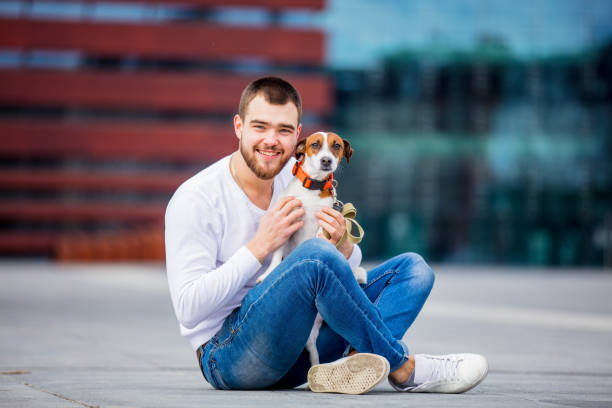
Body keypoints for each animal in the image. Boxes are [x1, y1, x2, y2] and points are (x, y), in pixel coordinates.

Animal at [256, 131, 366, 366]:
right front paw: (268, 274)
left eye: (336, 146)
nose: (327, 160)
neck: (312, 189)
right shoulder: (285, 222)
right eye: (315, 144)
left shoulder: (325, 224)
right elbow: (276, 255)